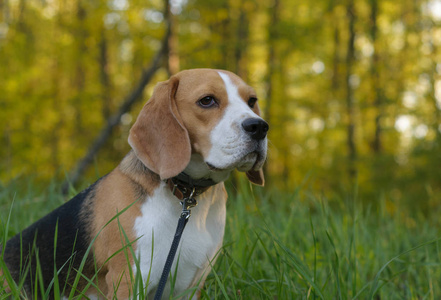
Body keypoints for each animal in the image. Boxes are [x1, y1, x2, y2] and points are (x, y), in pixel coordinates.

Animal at [0, 69, 268, 298]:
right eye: (207, 100)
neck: (187, 194)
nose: (259, 127)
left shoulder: (191, 285)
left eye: (251, 100)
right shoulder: (128, 279)